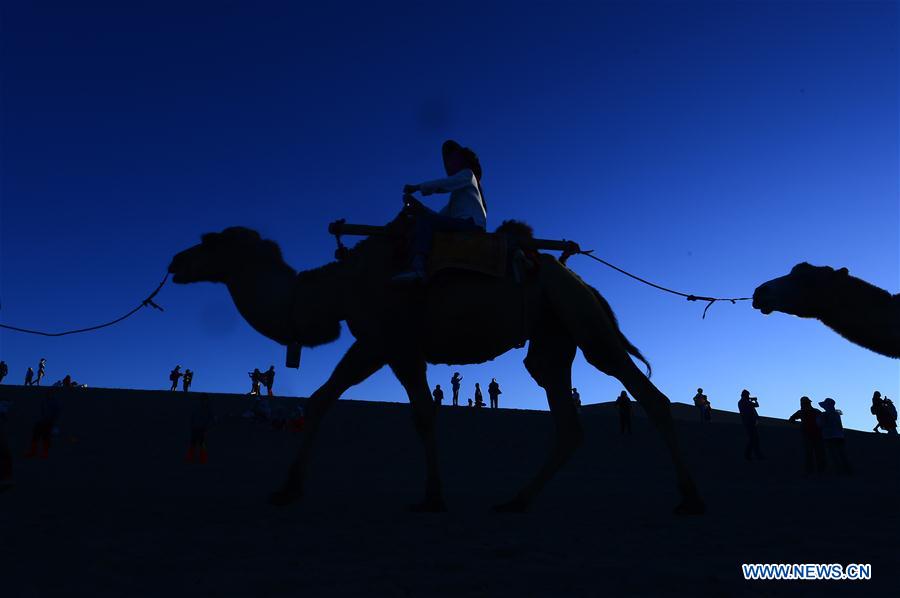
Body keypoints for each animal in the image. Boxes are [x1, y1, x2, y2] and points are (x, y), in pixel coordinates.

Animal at [167, 216, 704, 516]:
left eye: (210, 240)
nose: (175, 261)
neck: (338, 286)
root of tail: (580, 280)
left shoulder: (390, 341)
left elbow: (422, 414)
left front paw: (431, 498)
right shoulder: (380, 343)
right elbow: (322, 399)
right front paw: (287, 489)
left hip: (583, 322)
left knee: (646, 393)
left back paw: (689, 499)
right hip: (552, 337)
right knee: (565, 415)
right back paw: (515, 501)